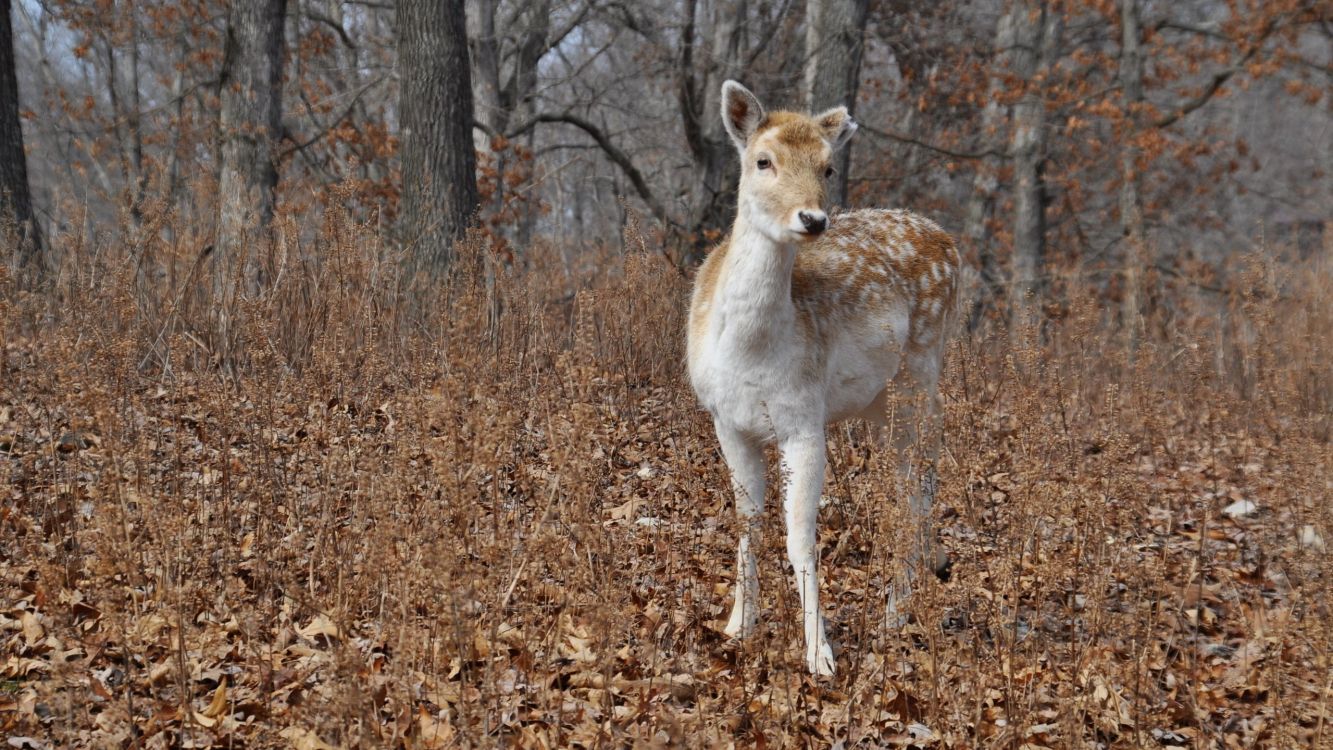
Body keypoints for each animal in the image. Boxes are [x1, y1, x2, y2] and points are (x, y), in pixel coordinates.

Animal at [687, 80, 959, 674]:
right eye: (762, 160)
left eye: (828, 166)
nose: (812, 219)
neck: (751, 354)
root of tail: (949, 241)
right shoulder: (727, 422)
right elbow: (747, 522)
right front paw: (738, 626)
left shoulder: (804, 420)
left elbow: (799, 539)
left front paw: (820, 656)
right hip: (879, 402)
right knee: (912, 484)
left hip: (922, 372)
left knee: (916, 485)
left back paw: (896, 613)